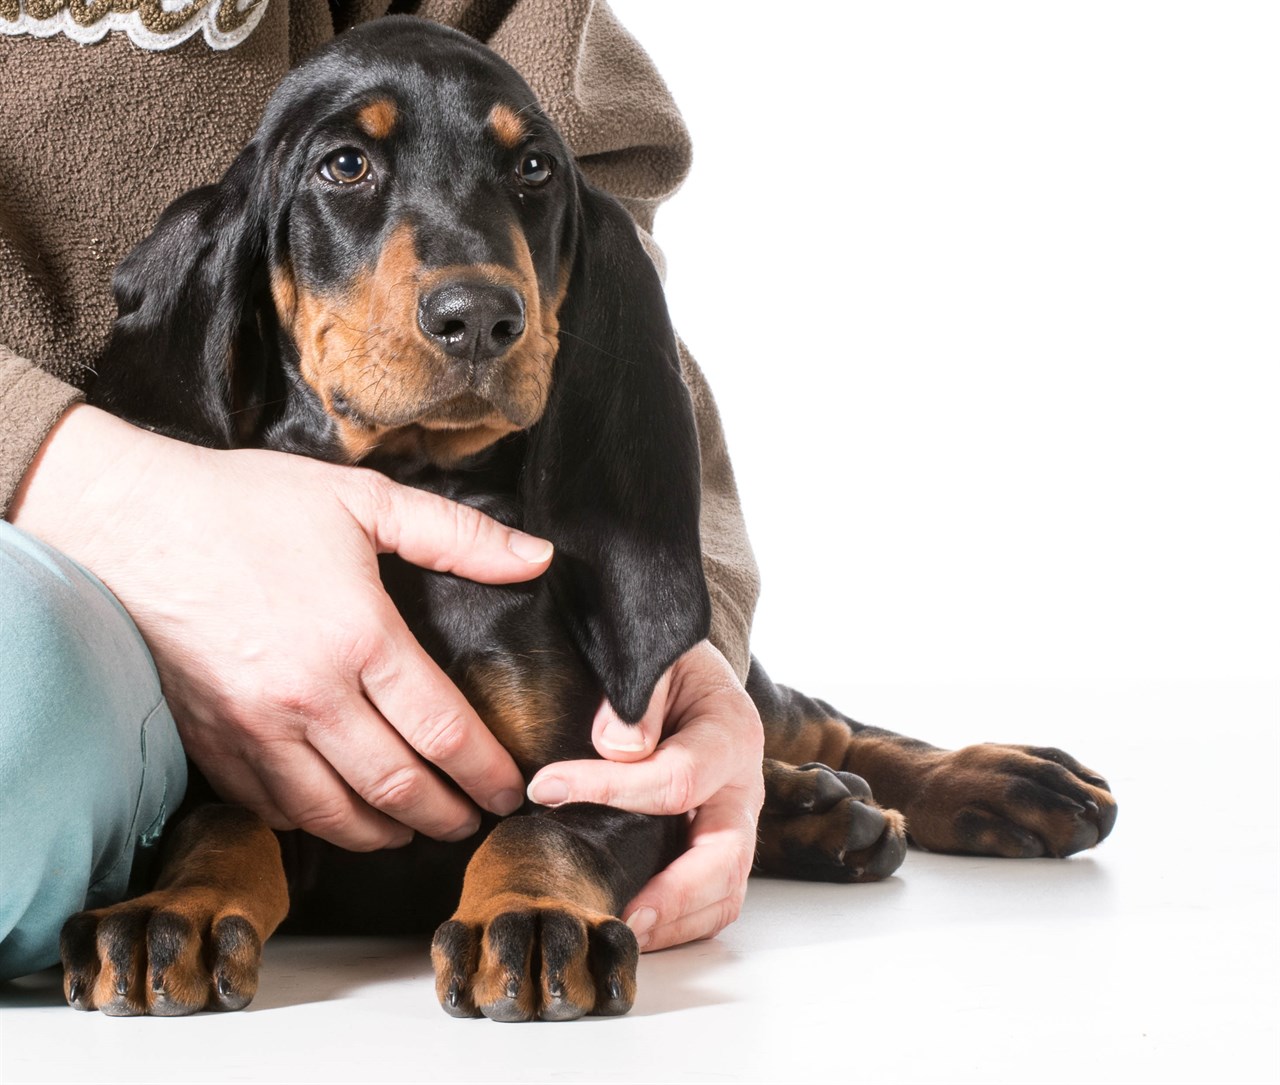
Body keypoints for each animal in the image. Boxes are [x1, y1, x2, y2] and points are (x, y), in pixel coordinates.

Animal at [64, 21, 1116, 1023]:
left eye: (534, 168)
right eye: (344, 165)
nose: (481, 317)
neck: (422, 490)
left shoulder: (611, 770)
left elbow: (547, 822)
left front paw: (529, 916)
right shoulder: (259, 755)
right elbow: (219, 822)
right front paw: (175, 911)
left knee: (811, 719)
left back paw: (989, 783)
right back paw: (823, 812)